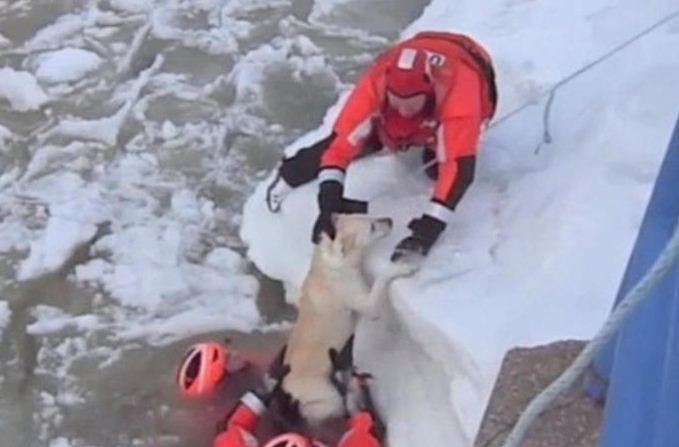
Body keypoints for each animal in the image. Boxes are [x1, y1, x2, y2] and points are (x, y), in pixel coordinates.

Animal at [278, 215, 418, 428]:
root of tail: (286, 390)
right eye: (372, 227)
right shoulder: (369, 305)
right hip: (329, 398)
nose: (390, 219)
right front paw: (401, 268)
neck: (338, 256)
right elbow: (381, 280)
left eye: (371, 216)